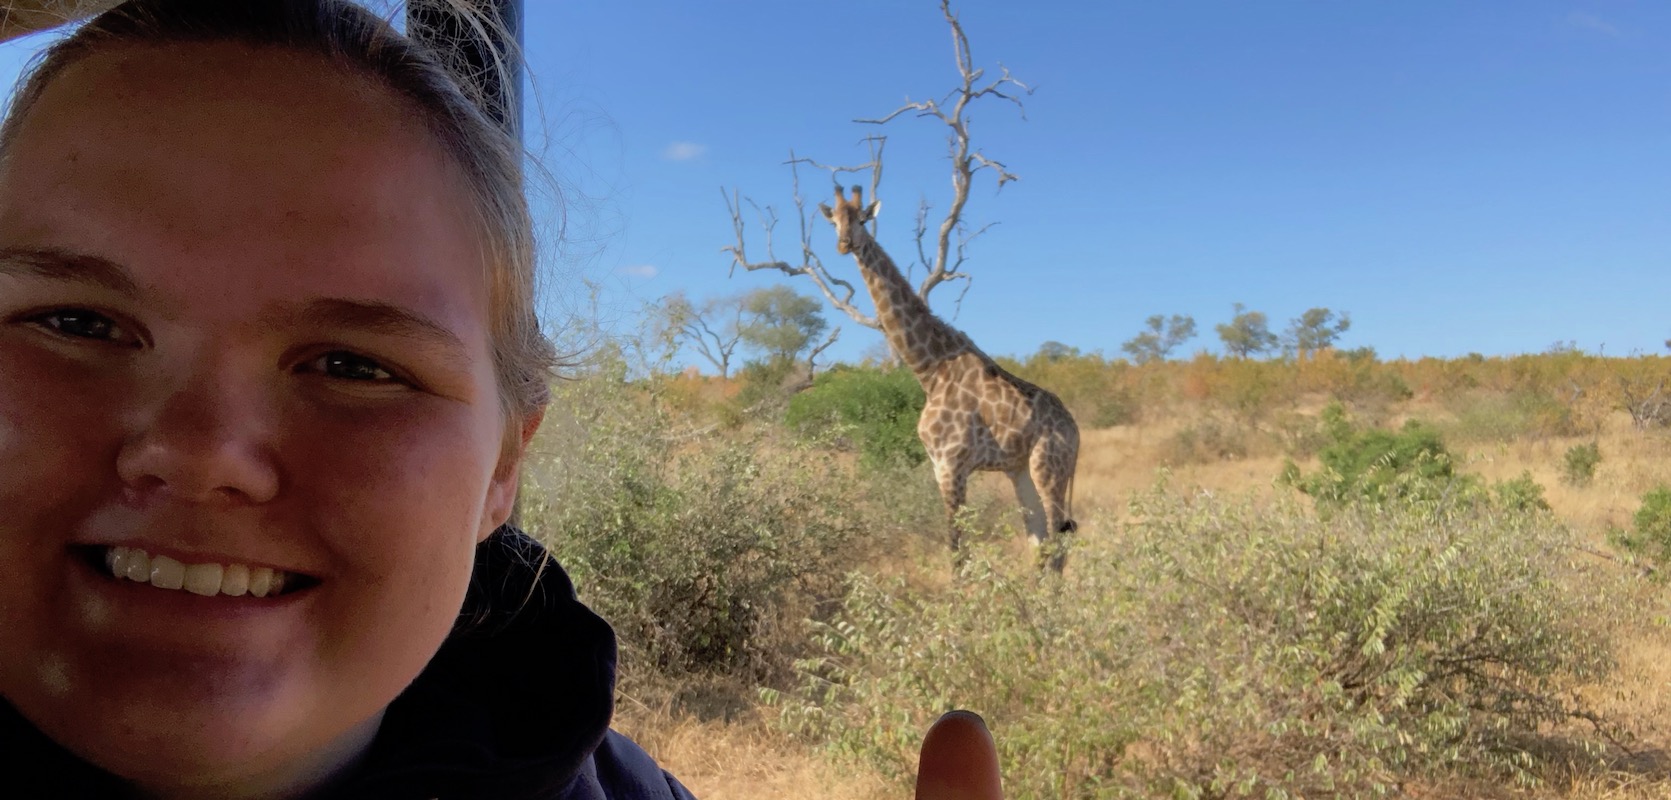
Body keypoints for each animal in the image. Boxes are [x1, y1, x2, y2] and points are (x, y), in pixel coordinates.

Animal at [822, 184, 1082, 574]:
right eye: (834, 220)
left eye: (863, 219)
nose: (843, 244)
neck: (929, 369)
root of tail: (1076, 430)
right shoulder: (937, 466)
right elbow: (961, 550)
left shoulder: (952, 465)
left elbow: (958, 552)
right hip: (1019, 470)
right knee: (1040, 543)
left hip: (1049, 468)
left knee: (1057, 545)